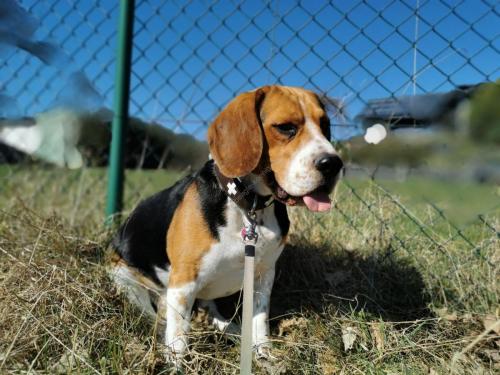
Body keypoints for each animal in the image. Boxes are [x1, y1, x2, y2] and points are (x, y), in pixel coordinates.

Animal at [110, 85, 344, 362]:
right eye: (286, 127)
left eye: (325, 125)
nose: (334, 164)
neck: (248, 207)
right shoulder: (183, 282)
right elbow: (178, 340)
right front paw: (175, 365)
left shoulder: (263, 275)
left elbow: (259, 321)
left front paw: (263, 354)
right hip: (126, 279)